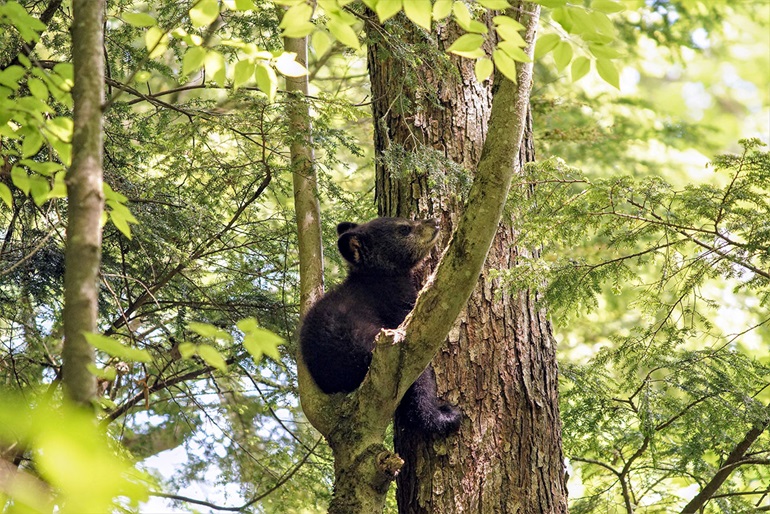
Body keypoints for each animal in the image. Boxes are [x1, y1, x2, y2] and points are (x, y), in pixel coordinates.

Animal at [299, 217, 462, 436]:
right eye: (404, 229)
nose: (434, 222)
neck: (378, 275)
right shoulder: (395, 301)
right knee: (418, 383)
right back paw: (442, 417)